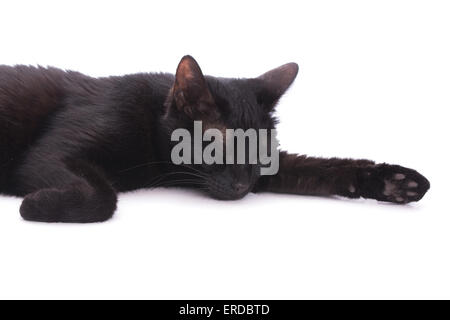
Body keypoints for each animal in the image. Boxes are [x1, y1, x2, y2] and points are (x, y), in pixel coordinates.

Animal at [0, 55, 430, 222]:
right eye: (216, 147)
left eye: (261, 151)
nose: (242, 186)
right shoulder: (53, 152)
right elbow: (104, 196)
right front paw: (36, 206)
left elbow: (317, 168)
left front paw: (396, 182)